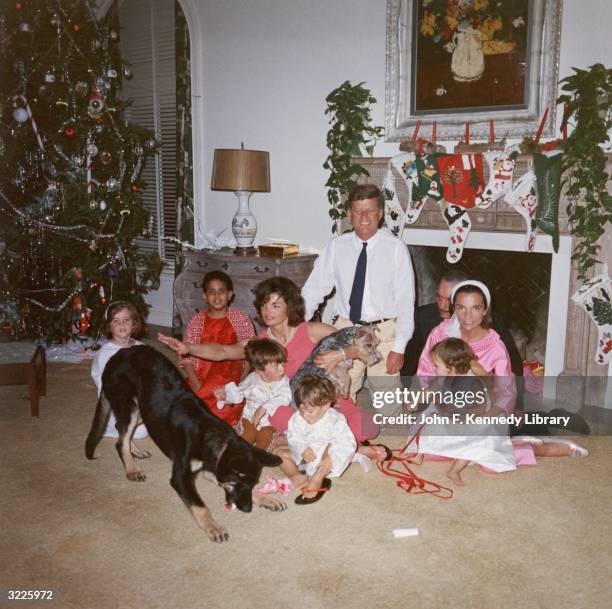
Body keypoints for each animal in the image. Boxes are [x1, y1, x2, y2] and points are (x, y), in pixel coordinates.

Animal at [85, 346, 286, 540]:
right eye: (236, 484)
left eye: (252, 484)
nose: (247, 509)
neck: (213, 437)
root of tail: (117, 355)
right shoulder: (181, 477)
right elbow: (200, 506)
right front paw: (213, 527)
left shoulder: (212, 468)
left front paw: (267, 499)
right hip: (130, 406)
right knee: (121, 440)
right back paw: (132, 469)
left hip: (145, 411)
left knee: (121, 430)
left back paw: (136, 452)